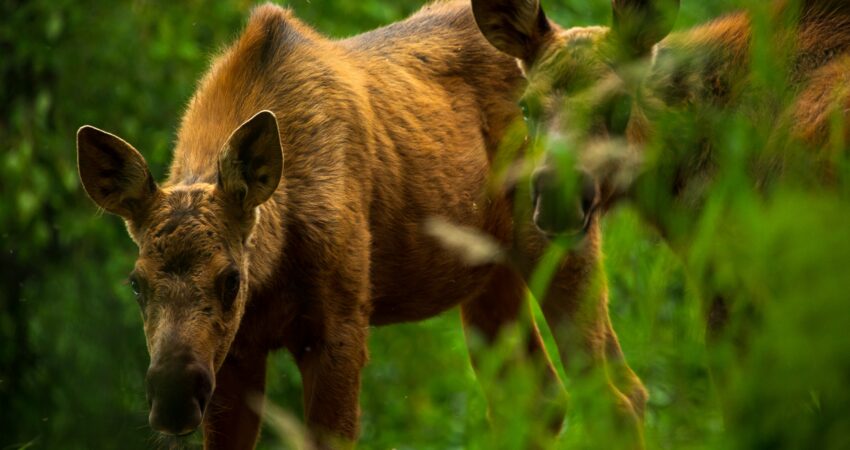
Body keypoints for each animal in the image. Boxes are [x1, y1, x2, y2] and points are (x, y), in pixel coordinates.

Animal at [76, 1, 644, 448]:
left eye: (231, 279)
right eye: (136, 283)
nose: (173, 396)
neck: (274, 267)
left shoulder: (341, 326)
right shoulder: (236, 352)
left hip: (560, 234)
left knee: (617, 395)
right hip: (489, 273)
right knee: (542, 400)